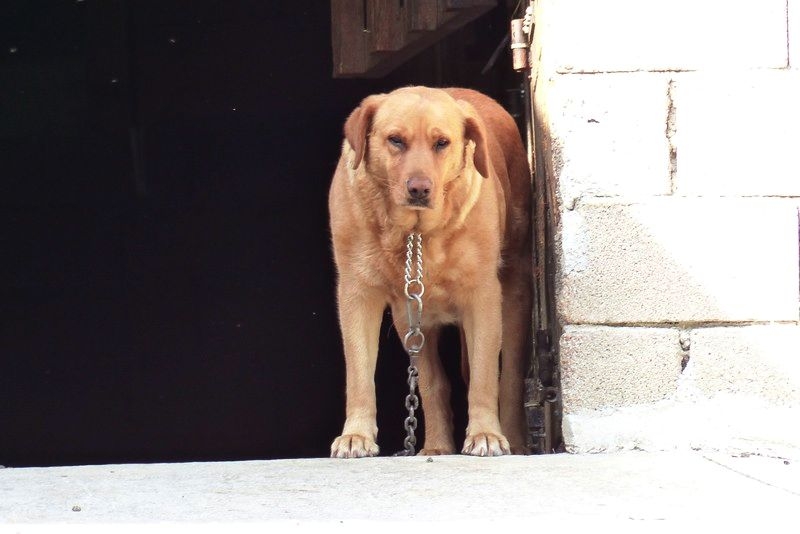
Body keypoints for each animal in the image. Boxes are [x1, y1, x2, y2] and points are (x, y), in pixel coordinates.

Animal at [330, 86, 532, 458]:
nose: (419, 188)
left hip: (516, 290)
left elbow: (484, 377)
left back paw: (515, 439)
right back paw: (436, 447)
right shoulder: (358, 293)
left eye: (442, 143)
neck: (416, 233)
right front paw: (356, 435)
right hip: (410, 317)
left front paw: (485, 433)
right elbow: (362, 373)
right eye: (395, 140)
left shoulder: (482, 295)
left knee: (509, 375)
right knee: (432, 381)